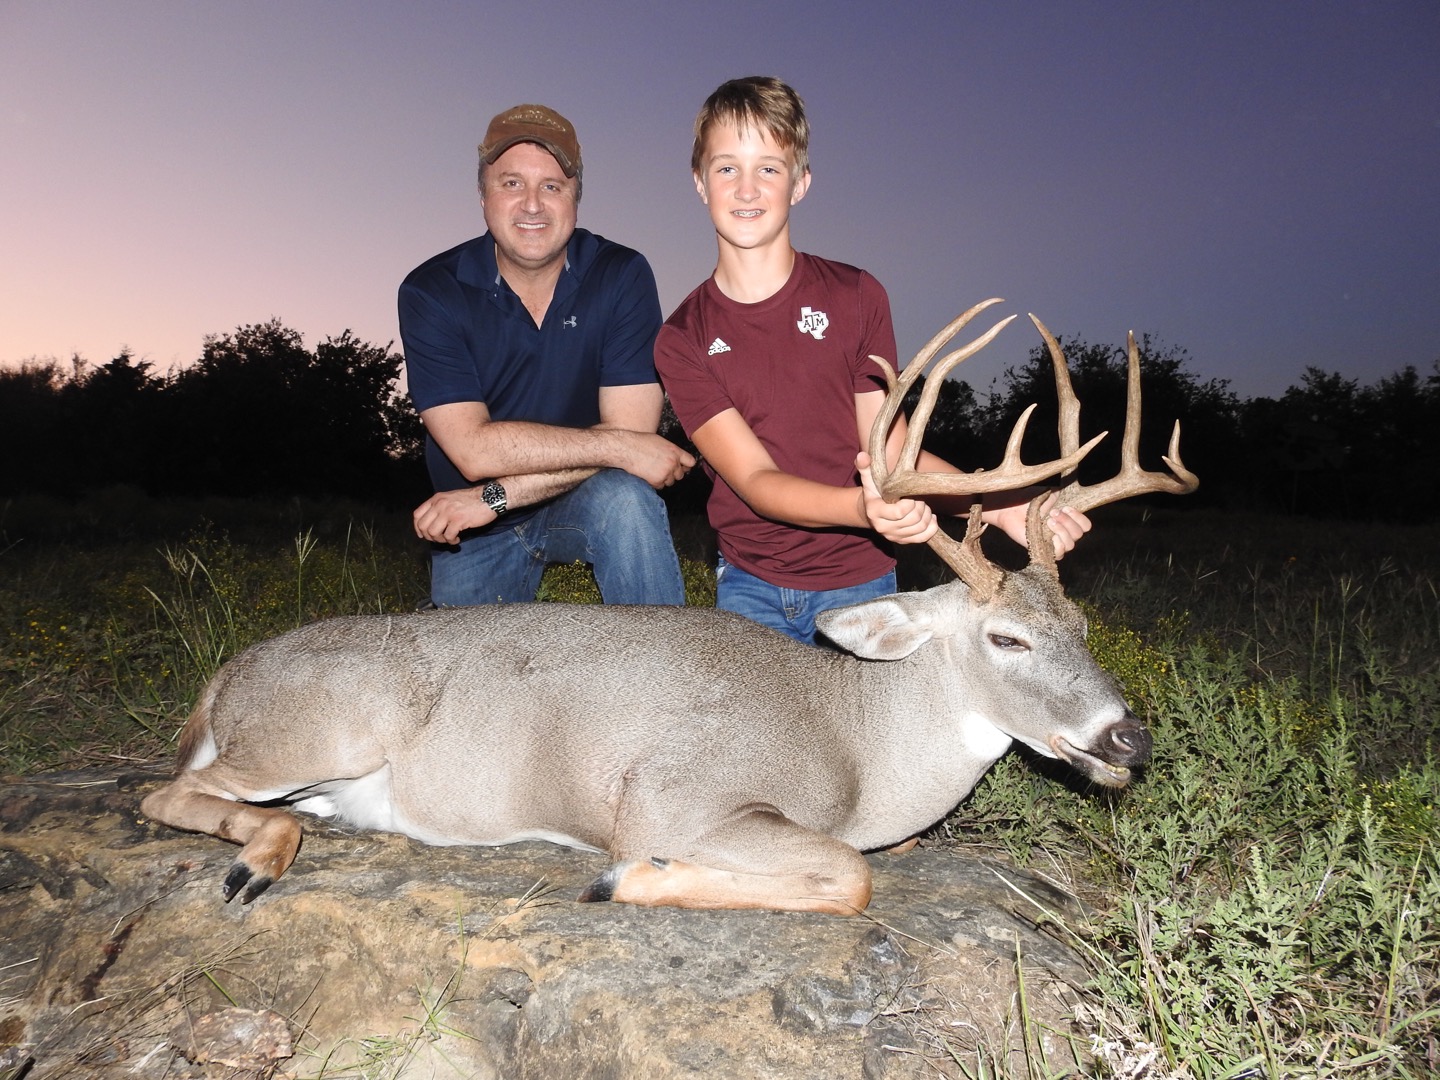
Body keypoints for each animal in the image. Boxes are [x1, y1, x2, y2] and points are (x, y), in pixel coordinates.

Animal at [140, 299, 1197, 915]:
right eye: (1005, 636)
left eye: (1083, 628)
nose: (1129, 738)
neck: (857, 740)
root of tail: (228, 673)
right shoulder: (671, 793)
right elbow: (851, 876)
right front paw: (629, 876)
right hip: (320, 729)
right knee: (164, 792)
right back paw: (258, 861)